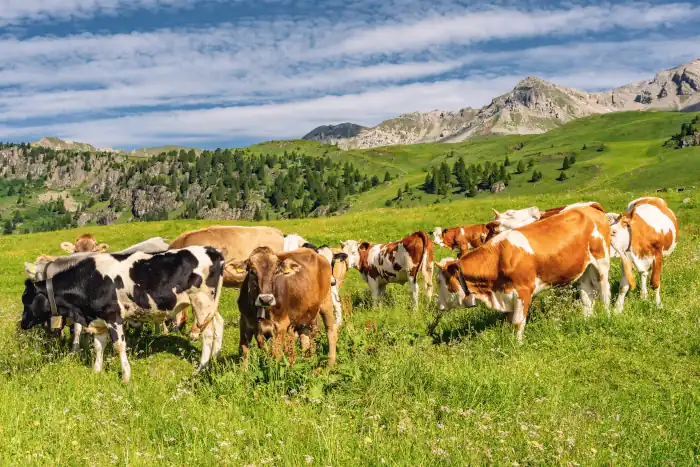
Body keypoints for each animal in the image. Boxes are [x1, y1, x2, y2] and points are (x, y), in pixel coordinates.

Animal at [20, 247, 225, 383]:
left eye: (26, 299)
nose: (22, 323)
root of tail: (212, 250)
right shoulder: (99, 320)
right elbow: (98, 346)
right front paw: (96, 371)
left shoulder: (113, 316)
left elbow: (119, 346)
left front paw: (126, 376)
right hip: (210, 305)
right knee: (218, 323)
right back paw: (215, 357)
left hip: (201, 301)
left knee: (207, 333)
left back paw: (202, 367)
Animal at [434, 204, 634, 342]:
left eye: (439, 281)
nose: (439, 305)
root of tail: (589, 207)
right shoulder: (506, 295)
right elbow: (509, 321)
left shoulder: (523, 291)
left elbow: (517, 322)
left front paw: (517, 345)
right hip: (583, 268)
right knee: (587, 295)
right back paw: (587, 319)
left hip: (601, 261)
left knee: (604, 292)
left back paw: (607, 316)